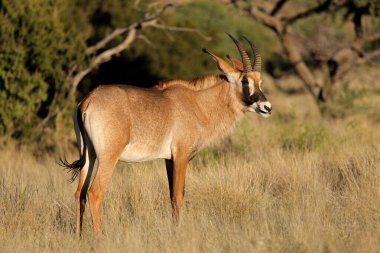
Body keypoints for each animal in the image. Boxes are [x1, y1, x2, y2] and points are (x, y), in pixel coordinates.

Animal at [61, 33, 270, 237]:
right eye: (245, 81)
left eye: (260, 82)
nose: (267, 107)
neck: (198, 103)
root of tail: (89, 99)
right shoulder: (181, 155)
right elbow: (178, 196)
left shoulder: (169, 159)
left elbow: (171, 196)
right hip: (108, 157)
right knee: (95, 192)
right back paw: (100, 238)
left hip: (89, 155)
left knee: (80, 193)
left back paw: (79, 238)